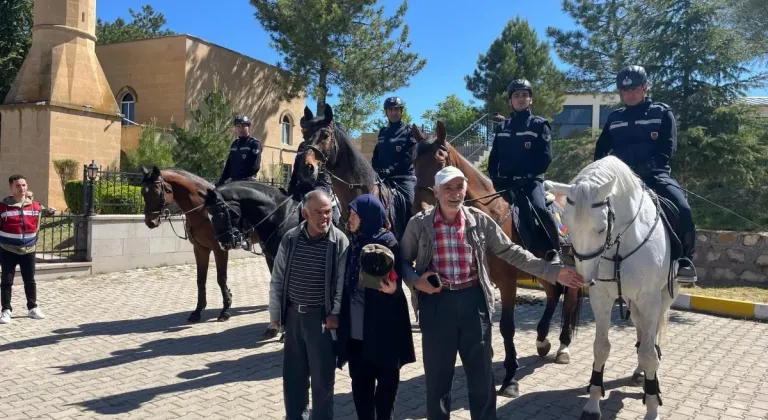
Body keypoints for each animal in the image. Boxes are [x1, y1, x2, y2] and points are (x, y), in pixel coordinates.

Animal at [138, 166, 234, 324]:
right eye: (142, 192)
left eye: (157, 191)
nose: (150, 222)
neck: (204, 211)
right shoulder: (200, 249)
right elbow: (200, 279)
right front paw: (197, 311)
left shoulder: (219, 249)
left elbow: (221, 278)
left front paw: (225, 310)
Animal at [544, 156, 680, 418]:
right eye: (566, 225)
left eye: (600, 227)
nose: (584, 277)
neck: (621, 243)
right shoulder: (602, 298)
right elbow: (601, 347)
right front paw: (592, 403)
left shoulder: (650, 299)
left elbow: (649, 353)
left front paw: (651, 406)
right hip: (633, 302)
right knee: (640, 331)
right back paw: (639, 373)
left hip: (664, 297)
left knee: (653, 338)